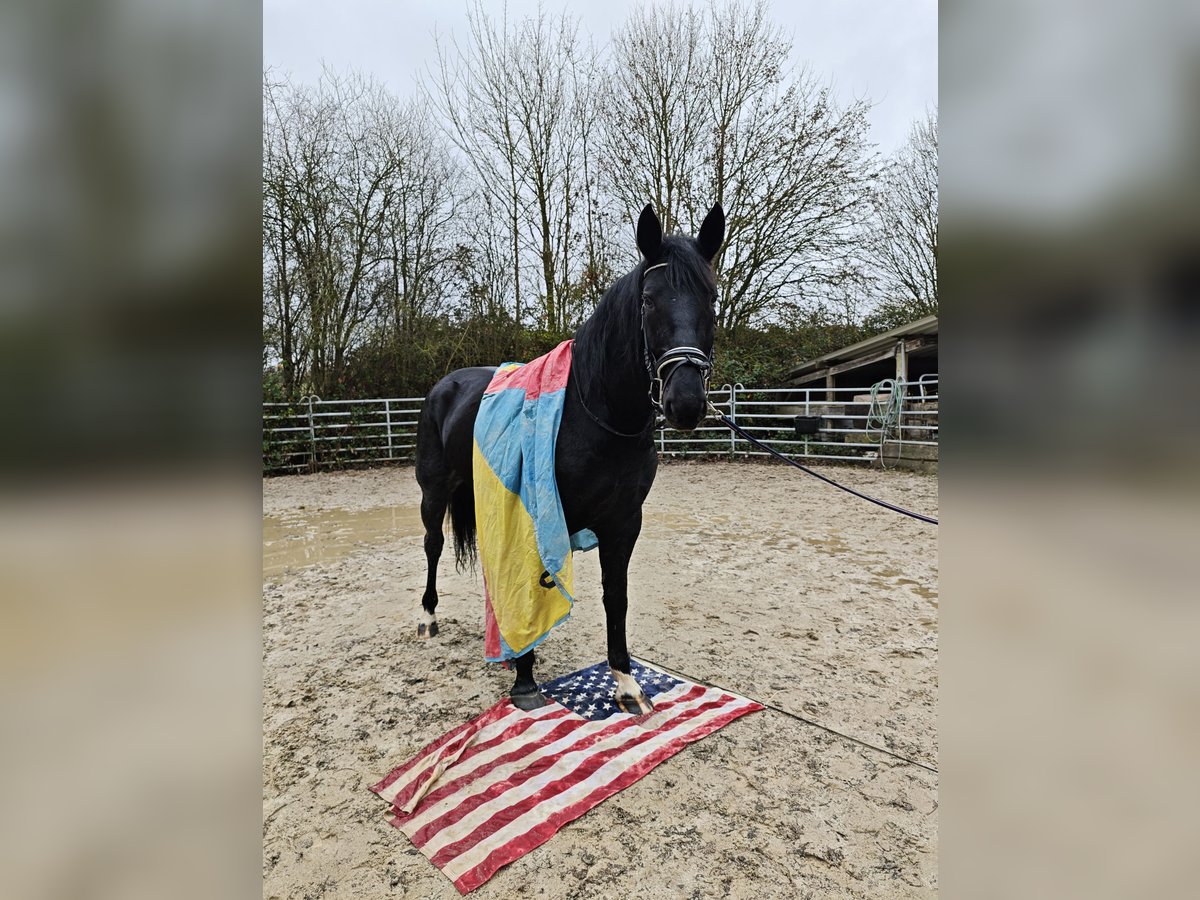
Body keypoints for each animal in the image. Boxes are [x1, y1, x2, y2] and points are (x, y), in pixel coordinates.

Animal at [414, 202, 725, 713]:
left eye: (711, 299)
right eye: (648, 301)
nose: (685, 402)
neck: (594, 415)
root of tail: (445, 386)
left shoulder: (623, 523)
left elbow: (615, 597)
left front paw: (626, 684)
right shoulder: (536, 517)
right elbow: (529, 585)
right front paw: (525, 682)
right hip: (435, 491)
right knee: (433, 545)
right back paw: (427, 617)